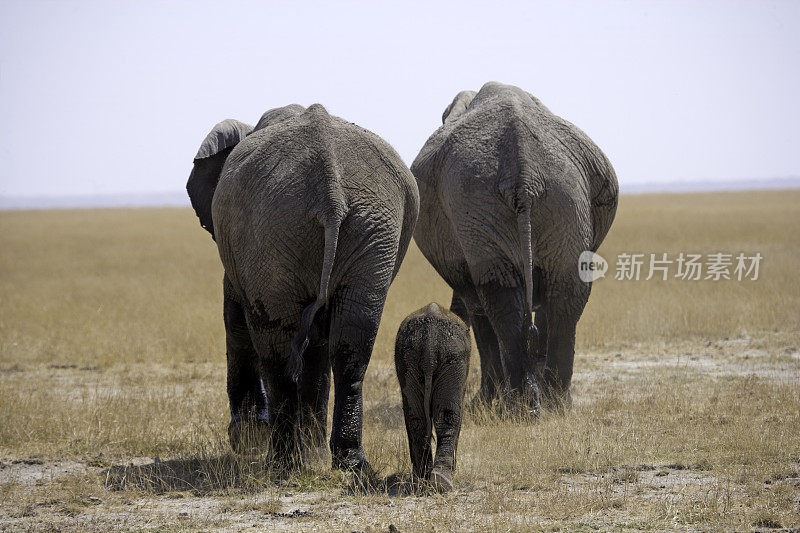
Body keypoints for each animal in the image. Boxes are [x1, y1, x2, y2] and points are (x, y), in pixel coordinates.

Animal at [187, 101, 418, 470]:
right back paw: (348, 464)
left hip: (270, 232)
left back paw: (282, 463)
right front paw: (310, 452)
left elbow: (235, 320)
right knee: (351, 344)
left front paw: (248, 440)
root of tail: (330, 190)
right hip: (372, 228)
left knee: (275, 346)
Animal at [396, 304, 472, 490]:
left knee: (417, 419)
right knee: (448, 416)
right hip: (454, 360)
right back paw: (440, 481)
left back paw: (424, 479)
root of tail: (430, 339)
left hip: (408, 360)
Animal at [412, 82, 620, 408]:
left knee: (501, 295)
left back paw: (527, 404)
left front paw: (483, 404)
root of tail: (524, 171)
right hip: (556, 199)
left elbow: (477, 305)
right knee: (562, 289)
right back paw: (549, 405)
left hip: (486, 199)